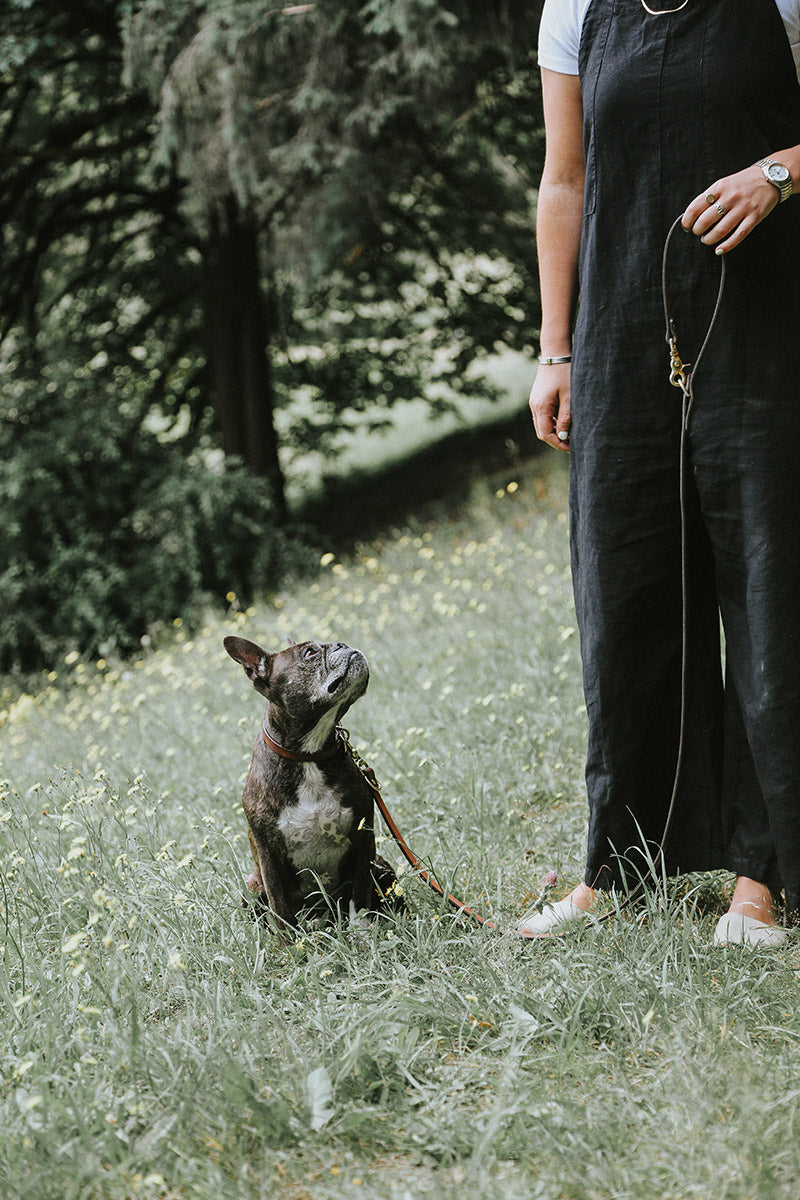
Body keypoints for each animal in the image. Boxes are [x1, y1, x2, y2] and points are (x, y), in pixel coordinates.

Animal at [224, 635, 402, 933]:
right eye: (309, 653)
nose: (342, 644)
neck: (309, 754)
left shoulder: (363, 839)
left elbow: (359, 897)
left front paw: (362, 934)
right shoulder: (269, 858)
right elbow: (282, 912)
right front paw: (291, 945)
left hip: (381, 866)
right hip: (252, 884)